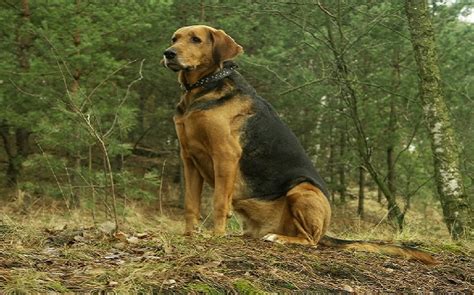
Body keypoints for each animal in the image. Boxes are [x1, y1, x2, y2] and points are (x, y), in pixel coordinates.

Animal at [161, 25, 436, 264]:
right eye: (175, 38)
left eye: (196, 39)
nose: (168, 53)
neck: (200, 89)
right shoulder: (189, 158)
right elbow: (190, 204)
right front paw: (188, 234)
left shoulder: (225, 155)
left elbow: (218, 202)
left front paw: (216, 236)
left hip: (302, 190)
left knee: (310, 240)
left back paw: (279, 238)